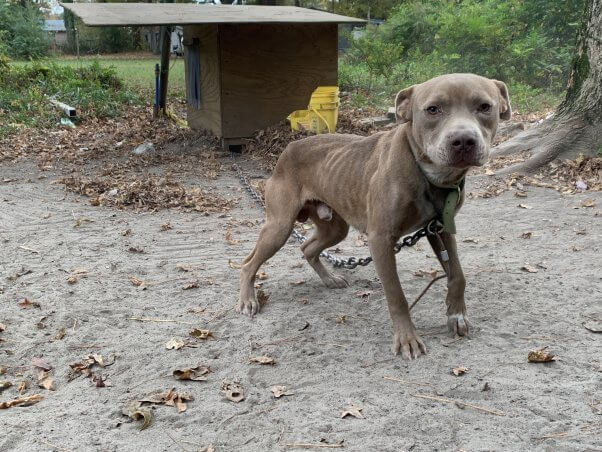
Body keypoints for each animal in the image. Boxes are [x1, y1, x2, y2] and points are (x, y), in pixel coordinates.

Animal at [237, 72, 508, 358]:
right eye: (433, 109)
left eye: (484, 107)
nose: (464, 141)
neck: (428, 175)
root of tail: (288, 148)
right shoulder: (380, 239)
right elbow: (397, 295)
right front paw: (407, 338)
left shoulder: (440, 228)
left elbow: (457, 274)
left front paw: (456, 315)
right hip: (279, 227)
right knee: (248, 263)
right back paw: (248, 300)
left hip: (335, 228)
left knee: (308, 248)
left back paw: (329, 279)